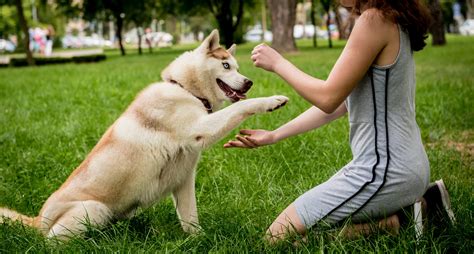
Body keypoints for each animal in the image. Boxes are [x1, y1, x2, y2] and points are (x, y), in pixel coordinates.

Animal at [0, 30, 288, 240]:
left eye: (237, 67)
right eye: (226, 65)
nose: (249, 82)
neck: (184, 89)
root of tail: (37, 220)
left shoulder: (184, 179)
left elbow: (190, 218)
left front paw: (199, 240)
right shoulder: (200, 128)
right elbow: (240, 107)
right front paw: (272, 101)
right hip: (95, 209)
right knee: (51, 242)